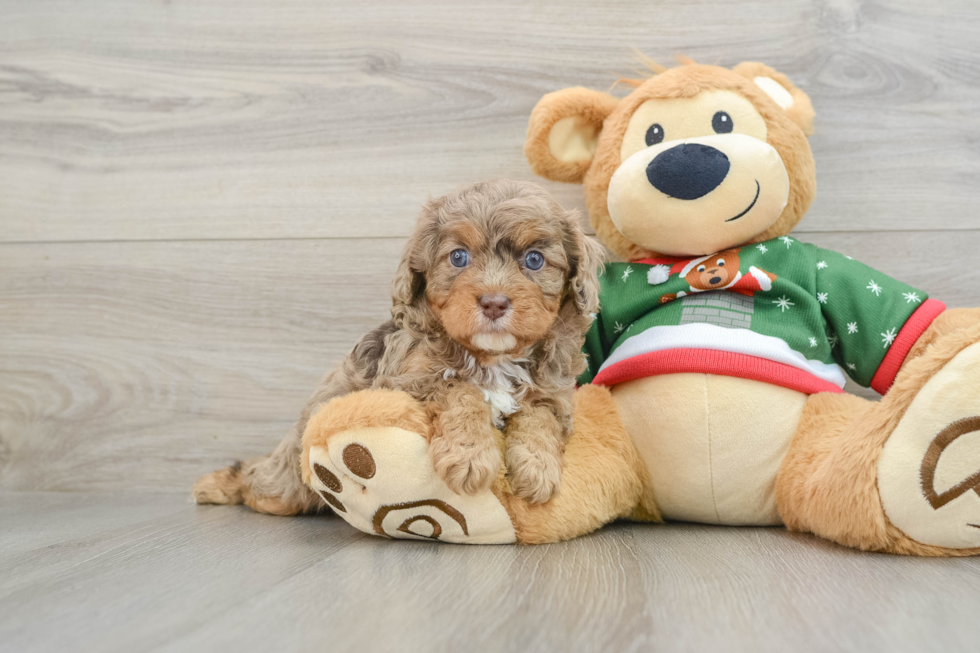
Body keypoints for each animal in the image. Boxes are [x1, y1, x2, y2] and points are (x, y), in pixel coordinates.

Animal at [192, 180, 604, 516]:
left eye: (534, 260)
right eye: (459, 257)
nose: (493, 303)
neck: (493, 357)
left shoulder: (554, 394)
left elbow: (539, 417)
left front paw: (537, 470)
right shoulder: (410, 380)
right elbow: (461, 388)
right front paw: (470, 457)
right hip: (286, 480)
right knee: (256, 481)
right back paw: (217, 485)